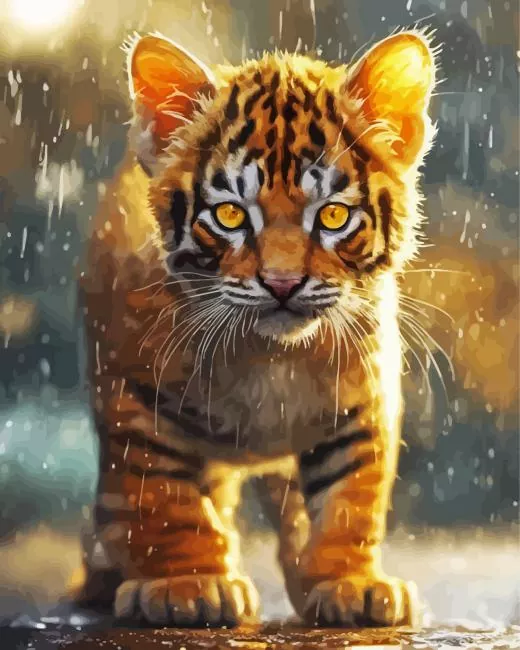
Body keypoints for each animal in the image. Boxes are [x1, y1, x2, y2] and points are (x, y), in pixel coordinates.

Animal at [74, 29, 438, 628]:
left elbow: (350, 499)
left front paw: (349, 583)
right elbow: (163, 499)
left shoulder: (363, 402)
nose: (283, 283)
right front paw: (188, 584)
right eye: (230, 216)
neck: (270, 355)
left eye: (333, 216)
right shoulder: (135, 399)